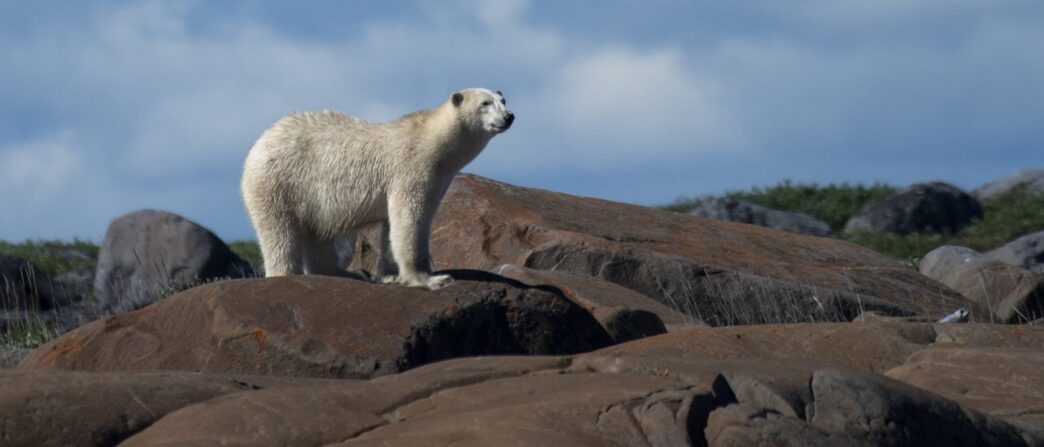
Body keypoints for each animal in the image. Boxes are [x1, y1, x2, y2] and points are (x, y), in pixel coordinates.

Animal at [240, 88, 509, 290]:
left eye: (503, 100)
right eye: (485, 103)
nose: (509, 117)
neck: (433, 141)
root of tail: (257, 145)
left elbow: (392, 226)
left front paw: (392, 275)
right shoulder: (413, 169)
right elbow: (410, 220)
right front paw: (431, 279)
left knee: (315, 234)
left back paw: (346, 273)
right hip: (278, 183)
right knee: (279, 234)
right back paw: (287, 273)